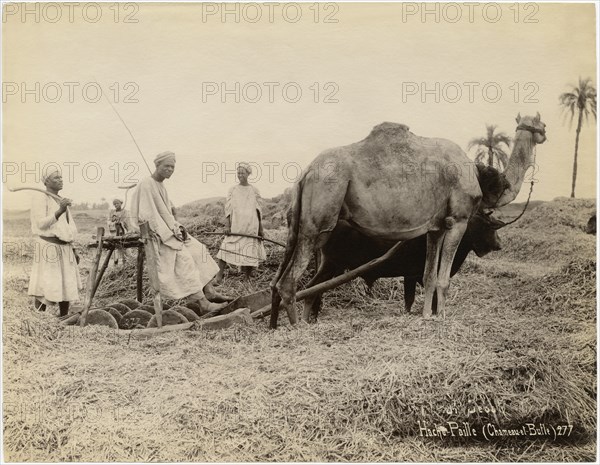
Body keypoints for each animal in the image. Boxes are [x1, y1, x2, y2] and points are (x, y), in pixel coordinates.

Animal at [270, 112, 548, 326]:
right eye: (539, 123)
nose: (545, 133)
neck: (480, 178)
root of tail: (305, 173)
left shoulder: (436, 227)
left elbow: (429, 276)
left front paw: (426, 317)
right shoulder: (458, 219)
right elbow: (444, 280)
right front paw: (442, 318)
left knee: (283, 282)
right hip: (319, 218)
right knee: (289, 282)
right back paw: (297, 328)